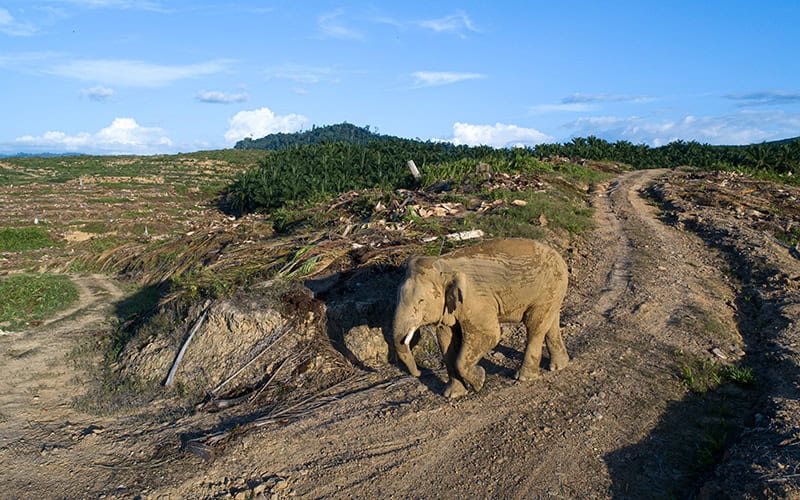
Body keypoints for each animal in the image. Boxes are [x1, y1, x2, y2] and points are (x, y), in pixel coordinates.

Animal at [393, 238, 569, 398]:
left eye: (421, 301)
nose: (419, 373)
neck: (444, 264)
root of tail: (559, 255)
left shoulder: (475, 300)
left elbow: (489, 334)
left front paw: (479, 381)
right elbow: (446, 339)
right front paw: (453, 395)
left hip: (547, 288)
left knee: (534, 326)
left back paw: (524, 378)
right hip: (553, 291)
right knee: (550, 323)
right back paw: (558, 366)